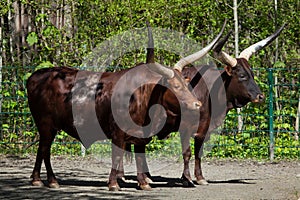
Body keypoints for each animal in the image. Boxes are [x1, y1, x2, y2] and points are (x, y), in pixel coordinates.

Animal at [27, 21, 225, 191]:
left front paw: (143, 183)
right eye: (175, 86)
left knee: (42, 149)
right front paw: (114, 184)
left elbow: (140, 155)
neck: (143, 97)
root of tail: (36, 76)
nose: (197, 104)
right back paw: (50, 180)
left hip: (48, 127)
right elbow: (116, 156)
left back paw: (38, 180)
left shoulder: (141, 135)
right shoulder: (117, 133)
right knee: (45, 149)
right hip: (46, 124)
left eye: (186, 83)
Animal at [124, 23, 286, 188]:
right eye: (242, 76)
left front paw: (200, 177)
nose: (260, 96)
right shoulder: (185, 127)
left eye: (252, 74)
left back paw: (146, 177)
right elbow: (187, 153)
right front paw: (187, 178)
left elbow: (198, 152)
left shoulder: (203, 128)